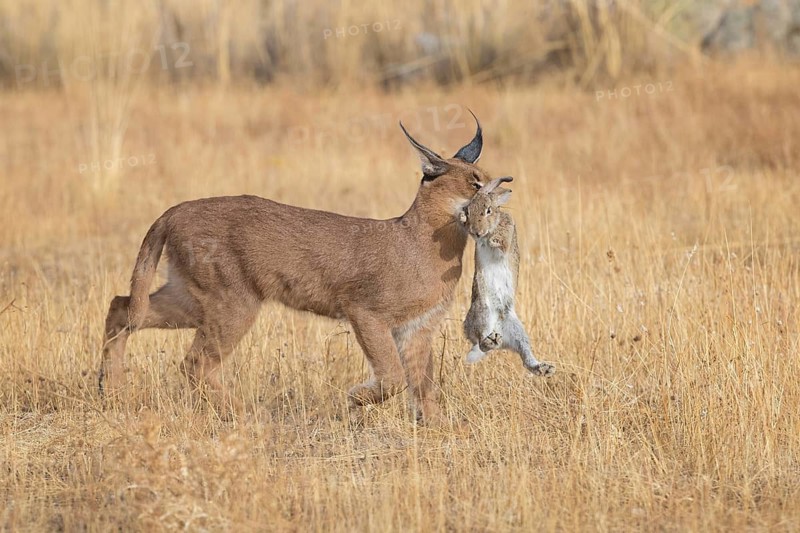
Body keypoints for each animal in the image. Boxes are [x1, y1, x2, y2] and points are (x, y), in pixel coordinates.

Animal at [459, 176, 555, 377]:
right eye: (469, 209)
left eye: (488, 210)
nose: (476, 231)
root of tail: (498, 328)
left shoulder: (506, 238)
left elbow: (501, 243)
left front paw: (493, 239)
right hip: (483, 312)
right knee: (482, 341)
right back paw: (491, 341)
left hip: (517, 331)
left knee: (525, 356)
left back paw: (544, 368)